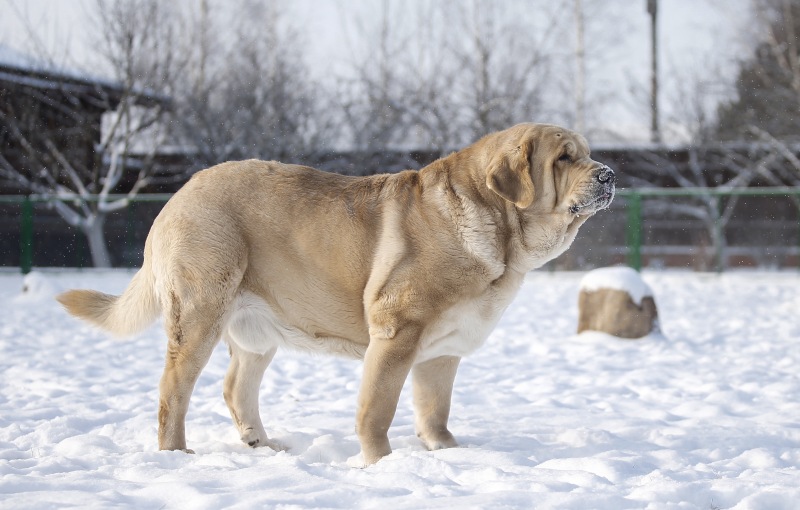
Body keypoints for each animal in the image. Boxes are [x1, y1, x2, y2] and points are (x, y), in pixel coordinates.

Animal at [57, 123, 620, 466]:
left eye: (589, 155)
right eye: (565, 158)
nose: (610, 173)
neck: (499, 228)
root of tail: (177, 196)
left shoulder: (441, 353)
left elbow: (435, 409)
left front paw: (444, 451)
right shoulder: (396, 336)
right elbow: (377, 409)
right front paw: (381, 463)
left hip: (256, 333)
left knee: (236, 387)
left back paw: (262, 444)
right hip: (199, 316)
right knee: (173, 392)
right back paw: (177, 454)